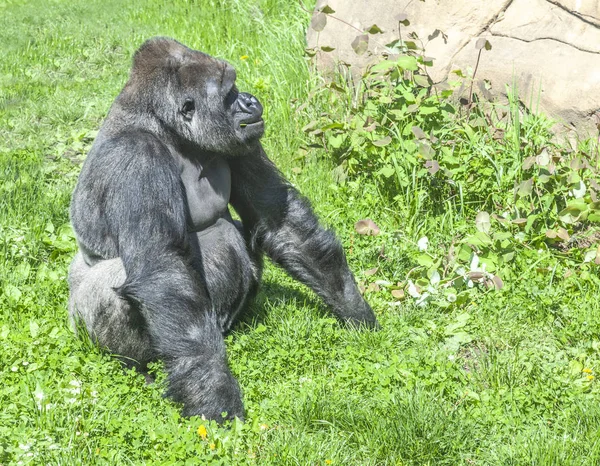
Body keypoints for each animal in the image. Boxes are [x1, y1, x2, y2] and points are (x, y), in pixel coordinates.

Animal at [68, 37, 378, 422]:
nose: (249, 100)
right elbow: (164, 272)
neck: (168, 129)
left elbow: (280, 220)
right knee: (112, 289)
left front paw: (354, 310)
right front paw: (212, 395)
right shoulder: (137, 159)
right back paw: (135, 367)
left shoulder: (243, 142)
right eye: (229, 92)